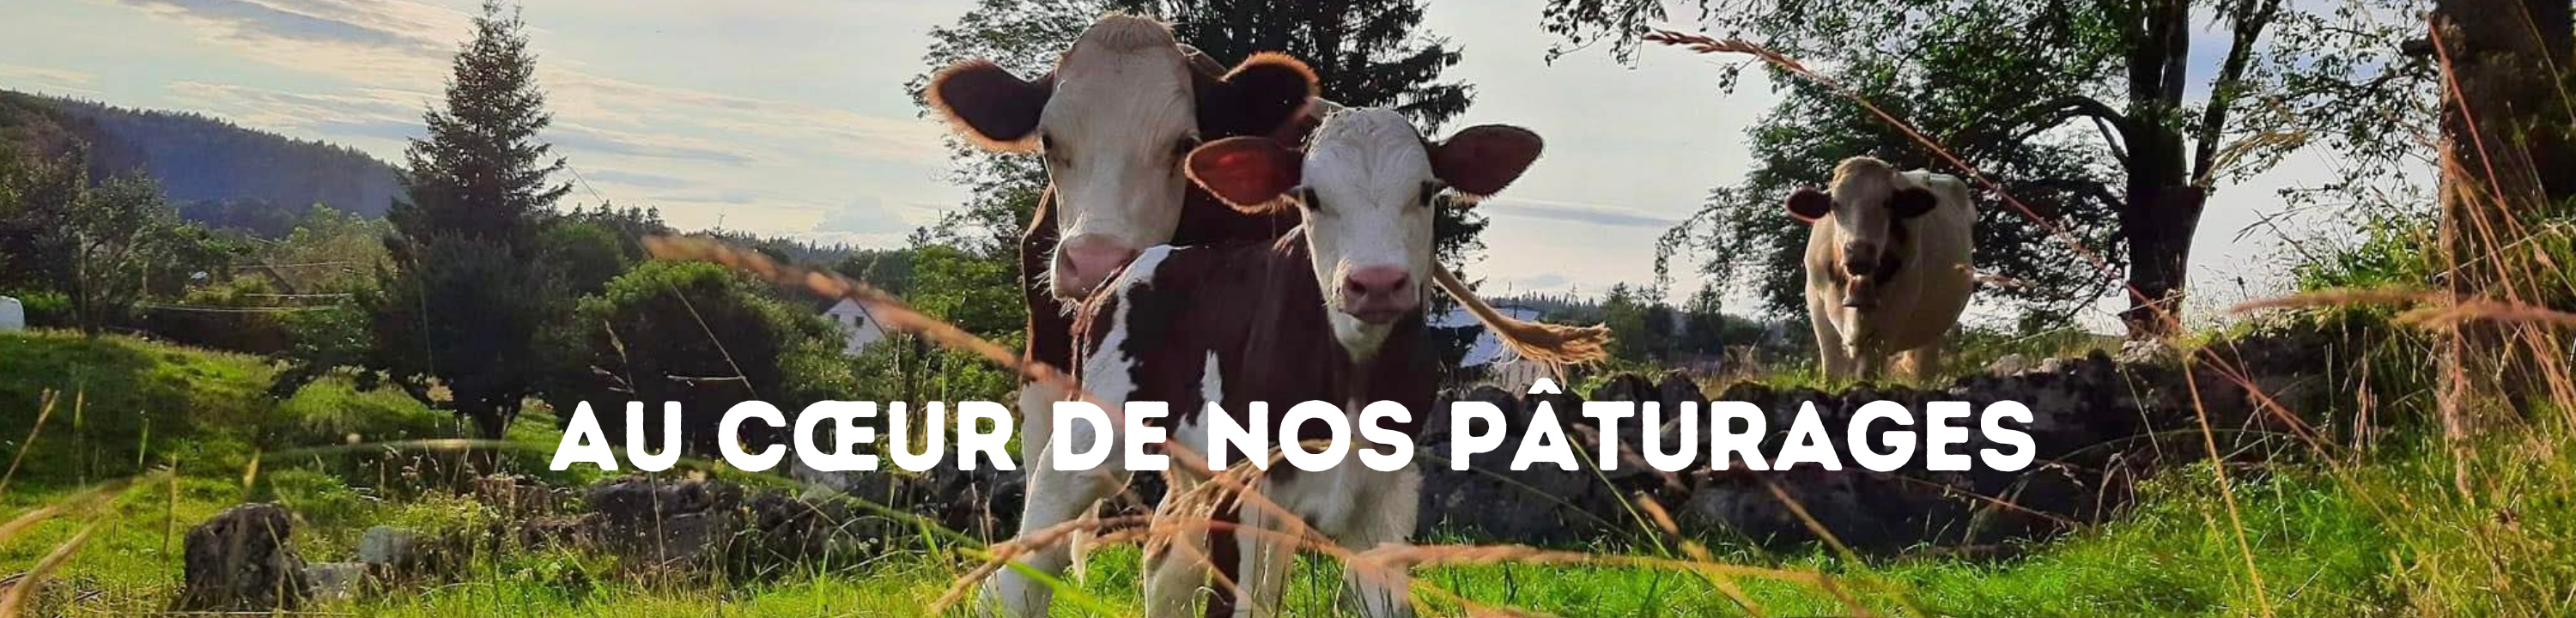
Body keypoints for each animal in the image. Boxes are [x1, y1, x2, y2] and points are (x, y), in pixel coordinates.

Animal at [976, 107, 1544, 618]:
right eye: (1310, 196)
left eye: (1426, 190)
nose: (1377, 282)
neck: (1351, 374)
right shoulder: (1245, 487)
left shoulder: (1387, 497)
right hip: (1084, 437)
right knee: (1025, 565)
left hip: (1191, 469)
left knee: (1164, 562)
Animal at [1792, 156, 1976, 381]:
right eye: (1834, 204)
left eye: (1887, 203)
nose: (1859, 251)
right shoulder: (1818, 306)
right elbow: (1833, 373)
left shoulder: (1893, 315)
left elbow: (1867, 372)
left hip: (1934, 329)